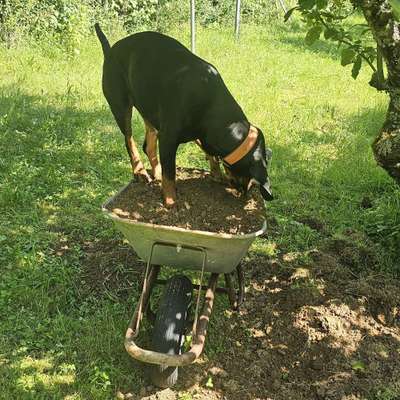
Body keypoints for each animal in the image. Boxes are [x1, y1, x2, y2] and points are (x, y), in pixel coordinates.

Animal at [95, 24, 274, 206]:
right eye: (251, 177)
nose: (245, 193)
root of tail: (109, 51)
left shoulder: (202, 134)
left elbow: (211, 154)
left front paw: (217, 174)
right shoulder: (168, 139)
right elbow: (170, 173)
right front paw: (170, 200)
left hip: (148, 106)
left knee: (148, 145)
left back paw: (156, 172)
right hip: (121, 107)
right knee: (129, 140)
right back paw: (140, 172)